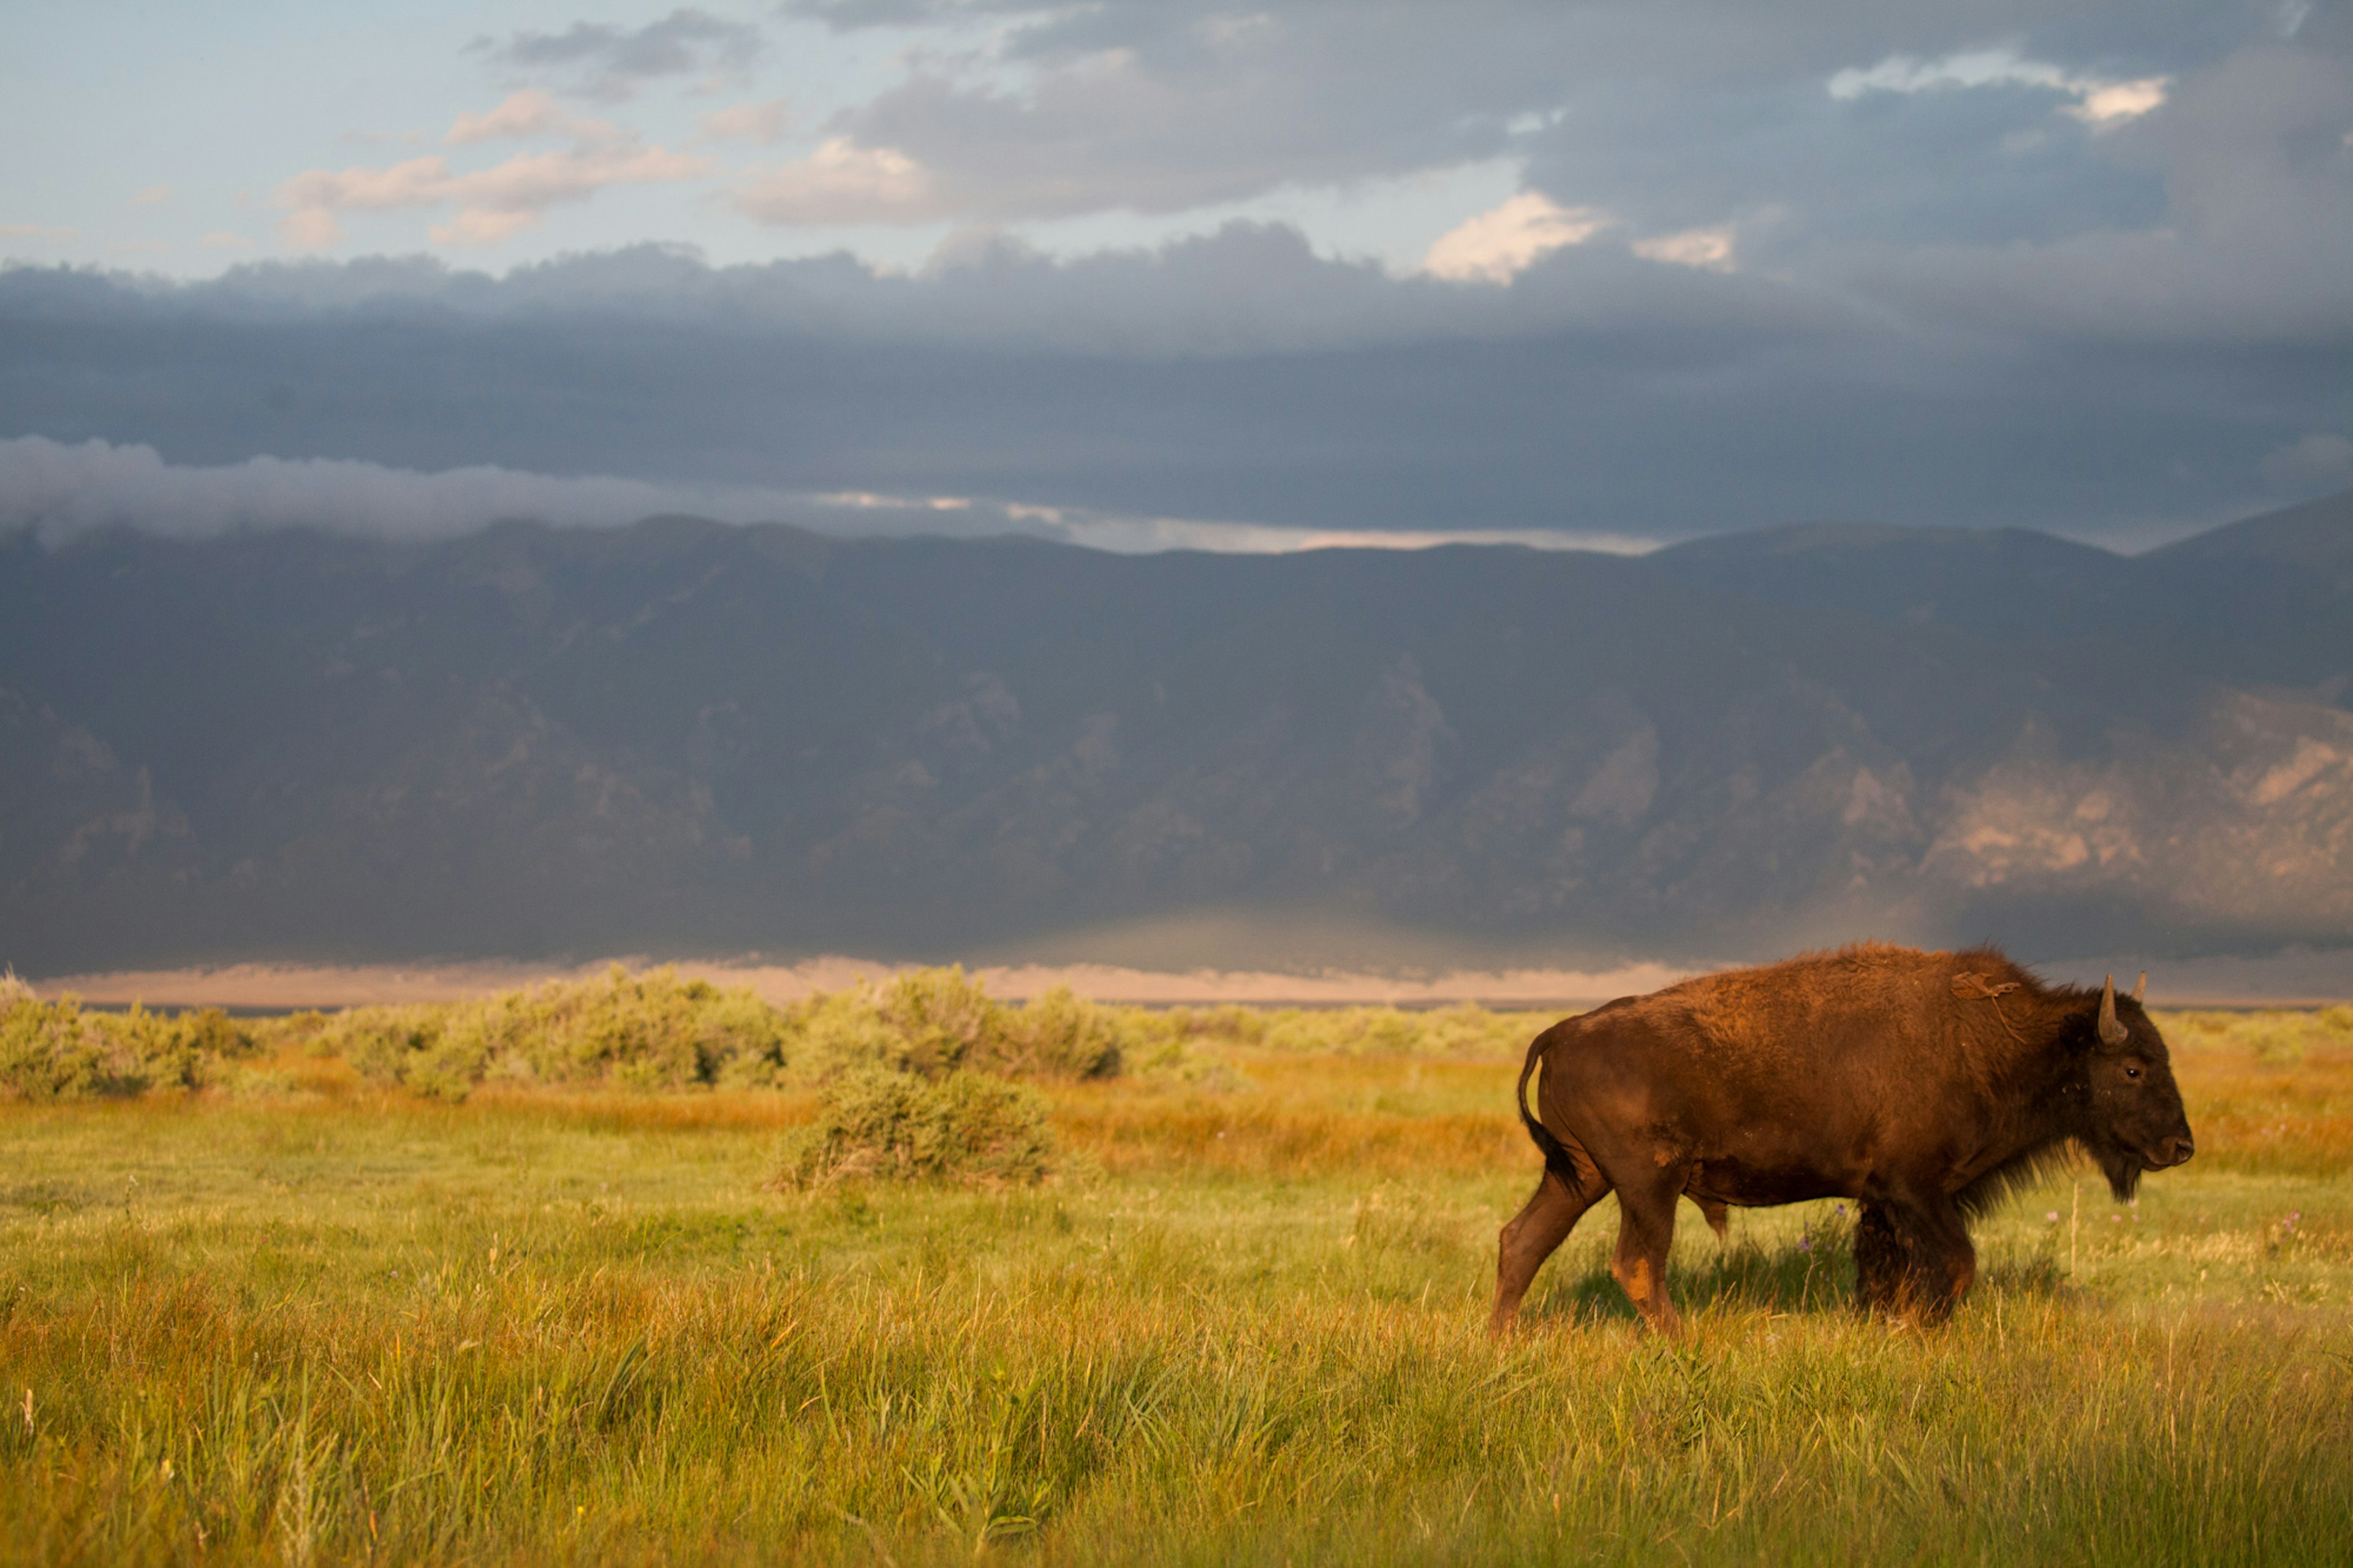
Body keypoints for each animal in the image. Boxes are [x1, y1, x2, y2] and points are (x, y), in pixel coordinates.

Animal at [1496, 941, 2192, 1328]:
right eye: (2133, 1068)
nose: (2181, 1147)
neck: (2000, 1042)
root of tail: (1562, 1031)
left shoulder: (1884, 1203)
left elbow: (1885, 1274)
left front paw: (1884, 1326)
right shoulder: (1914, 1189)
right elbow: (1956, 1265)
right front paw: (1915, 1332)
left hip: (1580, 1176)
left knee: (1522, 1242)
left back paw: (1504, 1340)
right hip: (1648, 1183)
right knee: (1637, 1264)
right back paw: (1685, 1344)